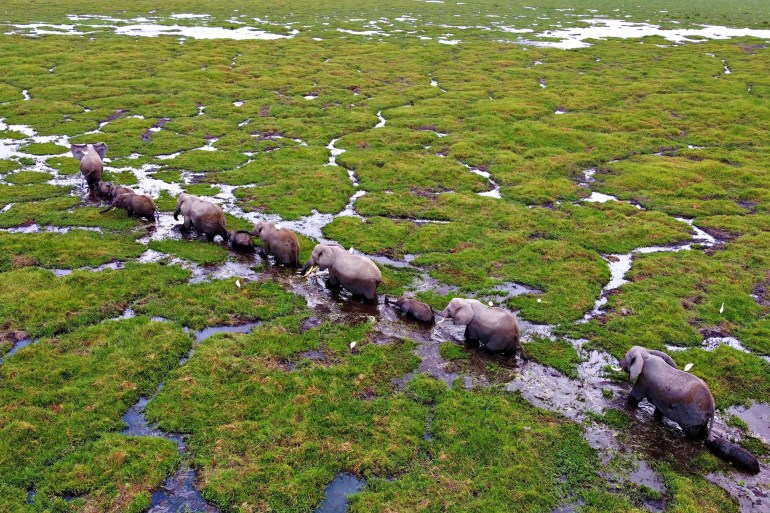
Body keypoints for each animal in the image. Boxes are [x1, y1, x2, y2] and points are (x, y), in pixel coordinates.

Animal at [616, 346, 756, 474]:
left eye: (625, 356)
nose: (619, 364)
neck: (646, 355)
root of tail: (712, 406)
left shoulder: (644, 380)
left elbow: (635, 397)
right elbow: (659, 410)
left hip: (693, 417)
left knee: (692, 434)